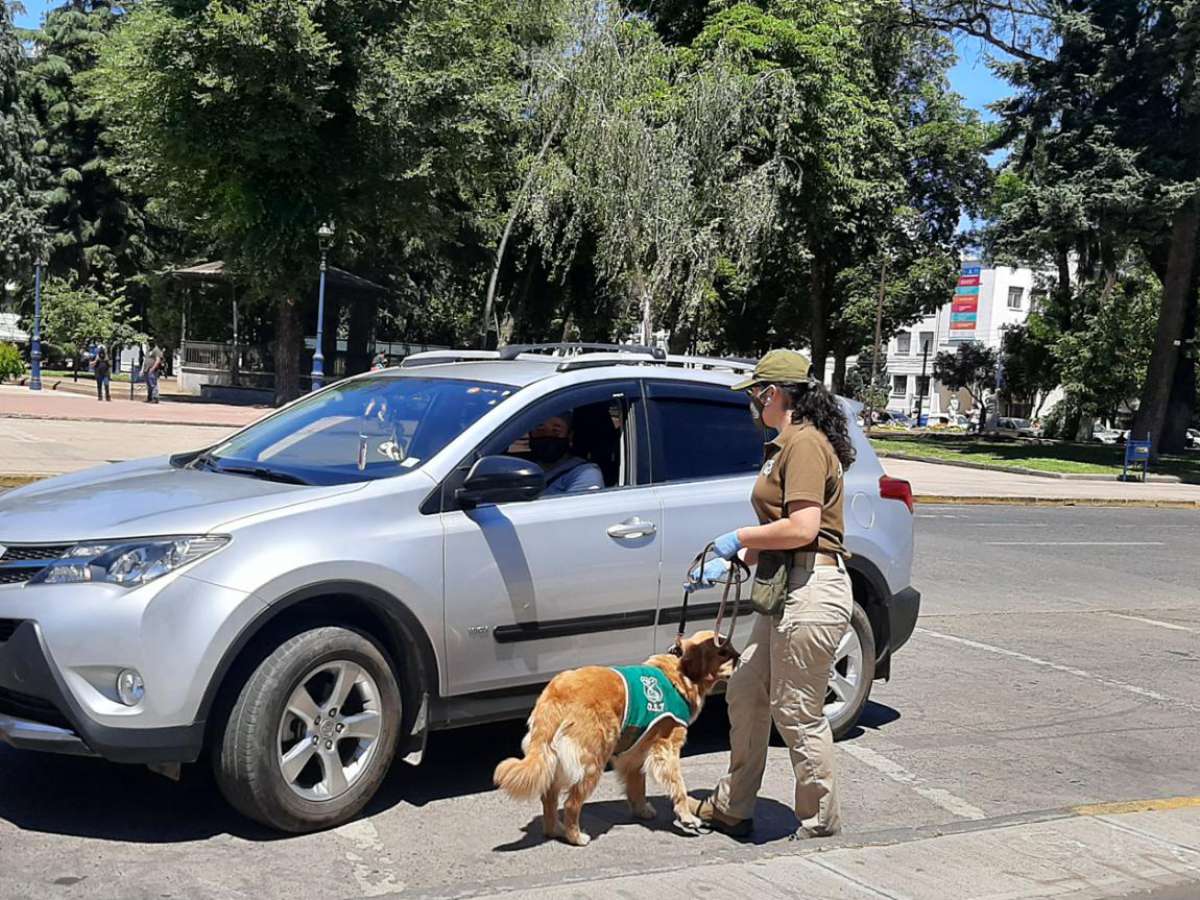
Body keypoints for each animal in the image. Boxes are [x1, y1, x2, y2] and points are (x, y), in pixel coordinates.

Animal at [492, 628, 734, 849]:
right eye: (723, 652)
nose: (740, 657)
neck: (681, 672)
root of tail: (557, 692)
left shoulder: (637, 752)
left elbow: (637, 784)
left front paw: (641, 809)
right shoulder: (666, 748)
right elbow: (678, 785)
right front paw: (687, 817)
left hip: (556, 757)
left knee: (549, 797)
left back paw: (555, 830)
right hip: (592, 760)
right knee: (571, 804)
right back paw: (575, 837)